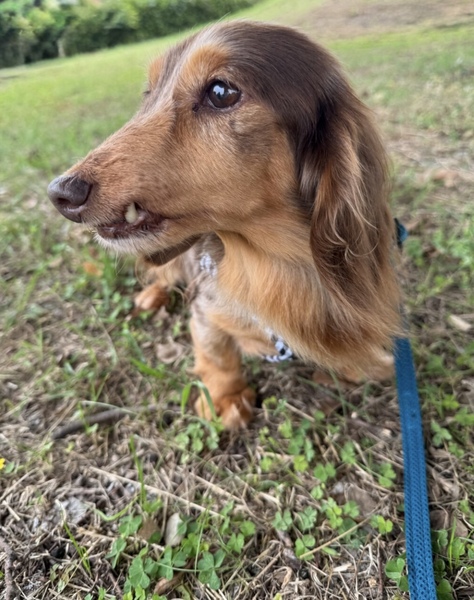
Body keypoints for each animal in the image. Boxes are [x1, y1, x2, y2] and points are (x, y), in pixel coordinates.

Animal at [48, 20, 400, 429]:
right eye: (149, 93)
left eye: (221, 92)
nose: (61, 193)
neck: (270, 263)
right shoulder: (205, 311)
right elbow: (216, 352)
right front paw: (225, 397)